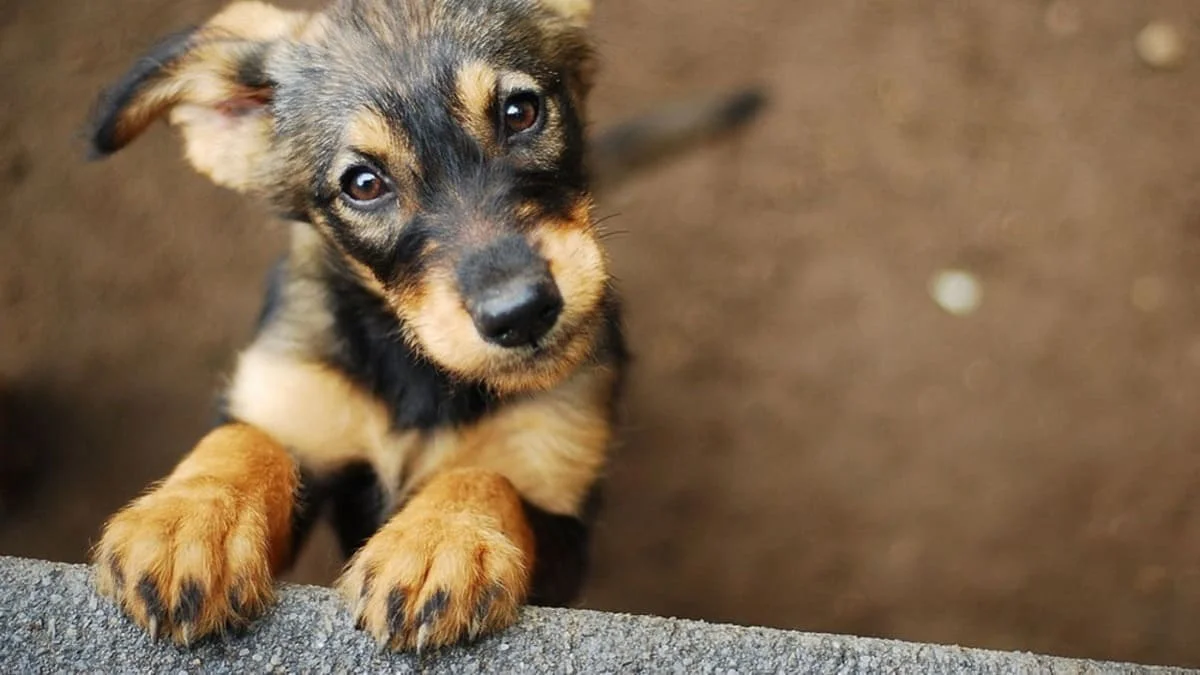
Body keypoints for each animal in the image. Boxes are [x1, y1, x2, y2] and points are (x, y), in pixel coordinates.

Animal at [84, 0, 763, 653]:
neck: (422, 374)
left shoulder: (563, 522)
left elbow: (486, 475)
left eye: (520, 112)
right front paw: (189, 520)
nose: (521, 313)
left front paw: (438, 542)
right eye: (363, 184)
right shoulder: (295, 395)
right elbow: (245, 439)